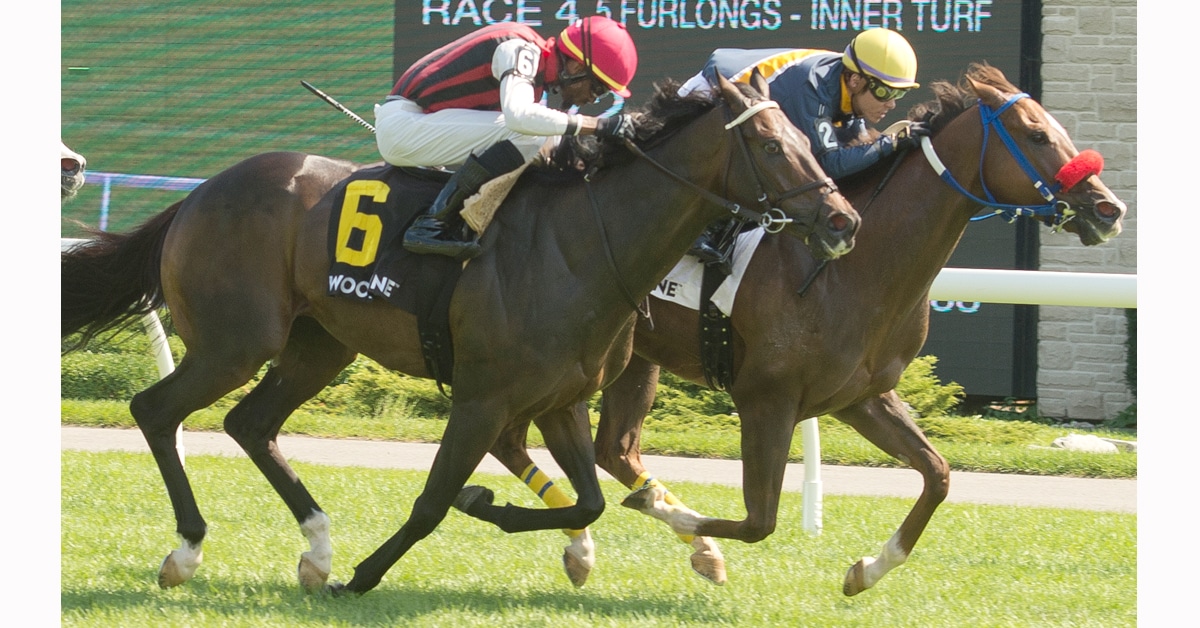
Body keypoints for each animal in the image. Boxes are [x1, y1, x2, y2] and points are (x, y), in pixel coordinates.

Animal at [60, 72, 860, 595]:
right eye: (770, 143)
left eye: (803, 135)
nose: (843, 219)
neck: (580, 244)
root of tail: (200, 194)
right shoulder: (481, 398)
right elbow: (432, 501)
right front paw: (366, 576)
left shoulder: (561, 401)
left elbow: (589, 501)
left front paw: (498, 512)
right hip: (236, 342)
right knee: (155, 410)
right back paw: (190, 552)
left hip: (319, 344)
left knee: (249, 424)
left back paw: (316, 549)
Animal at [486, 63, 1127, 595]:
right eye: (1037, 135)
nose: (1109, 208)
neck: (857, 266)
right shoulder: (765, 397)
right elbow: (759, 520)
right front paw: (668, 513)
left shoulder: (861, 395)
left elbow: (939, 475)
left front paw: (866, 571)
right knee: (522, 435)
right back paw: (608, 539)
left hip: (634, 356)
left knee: (608, 447)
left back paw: (643, 544)